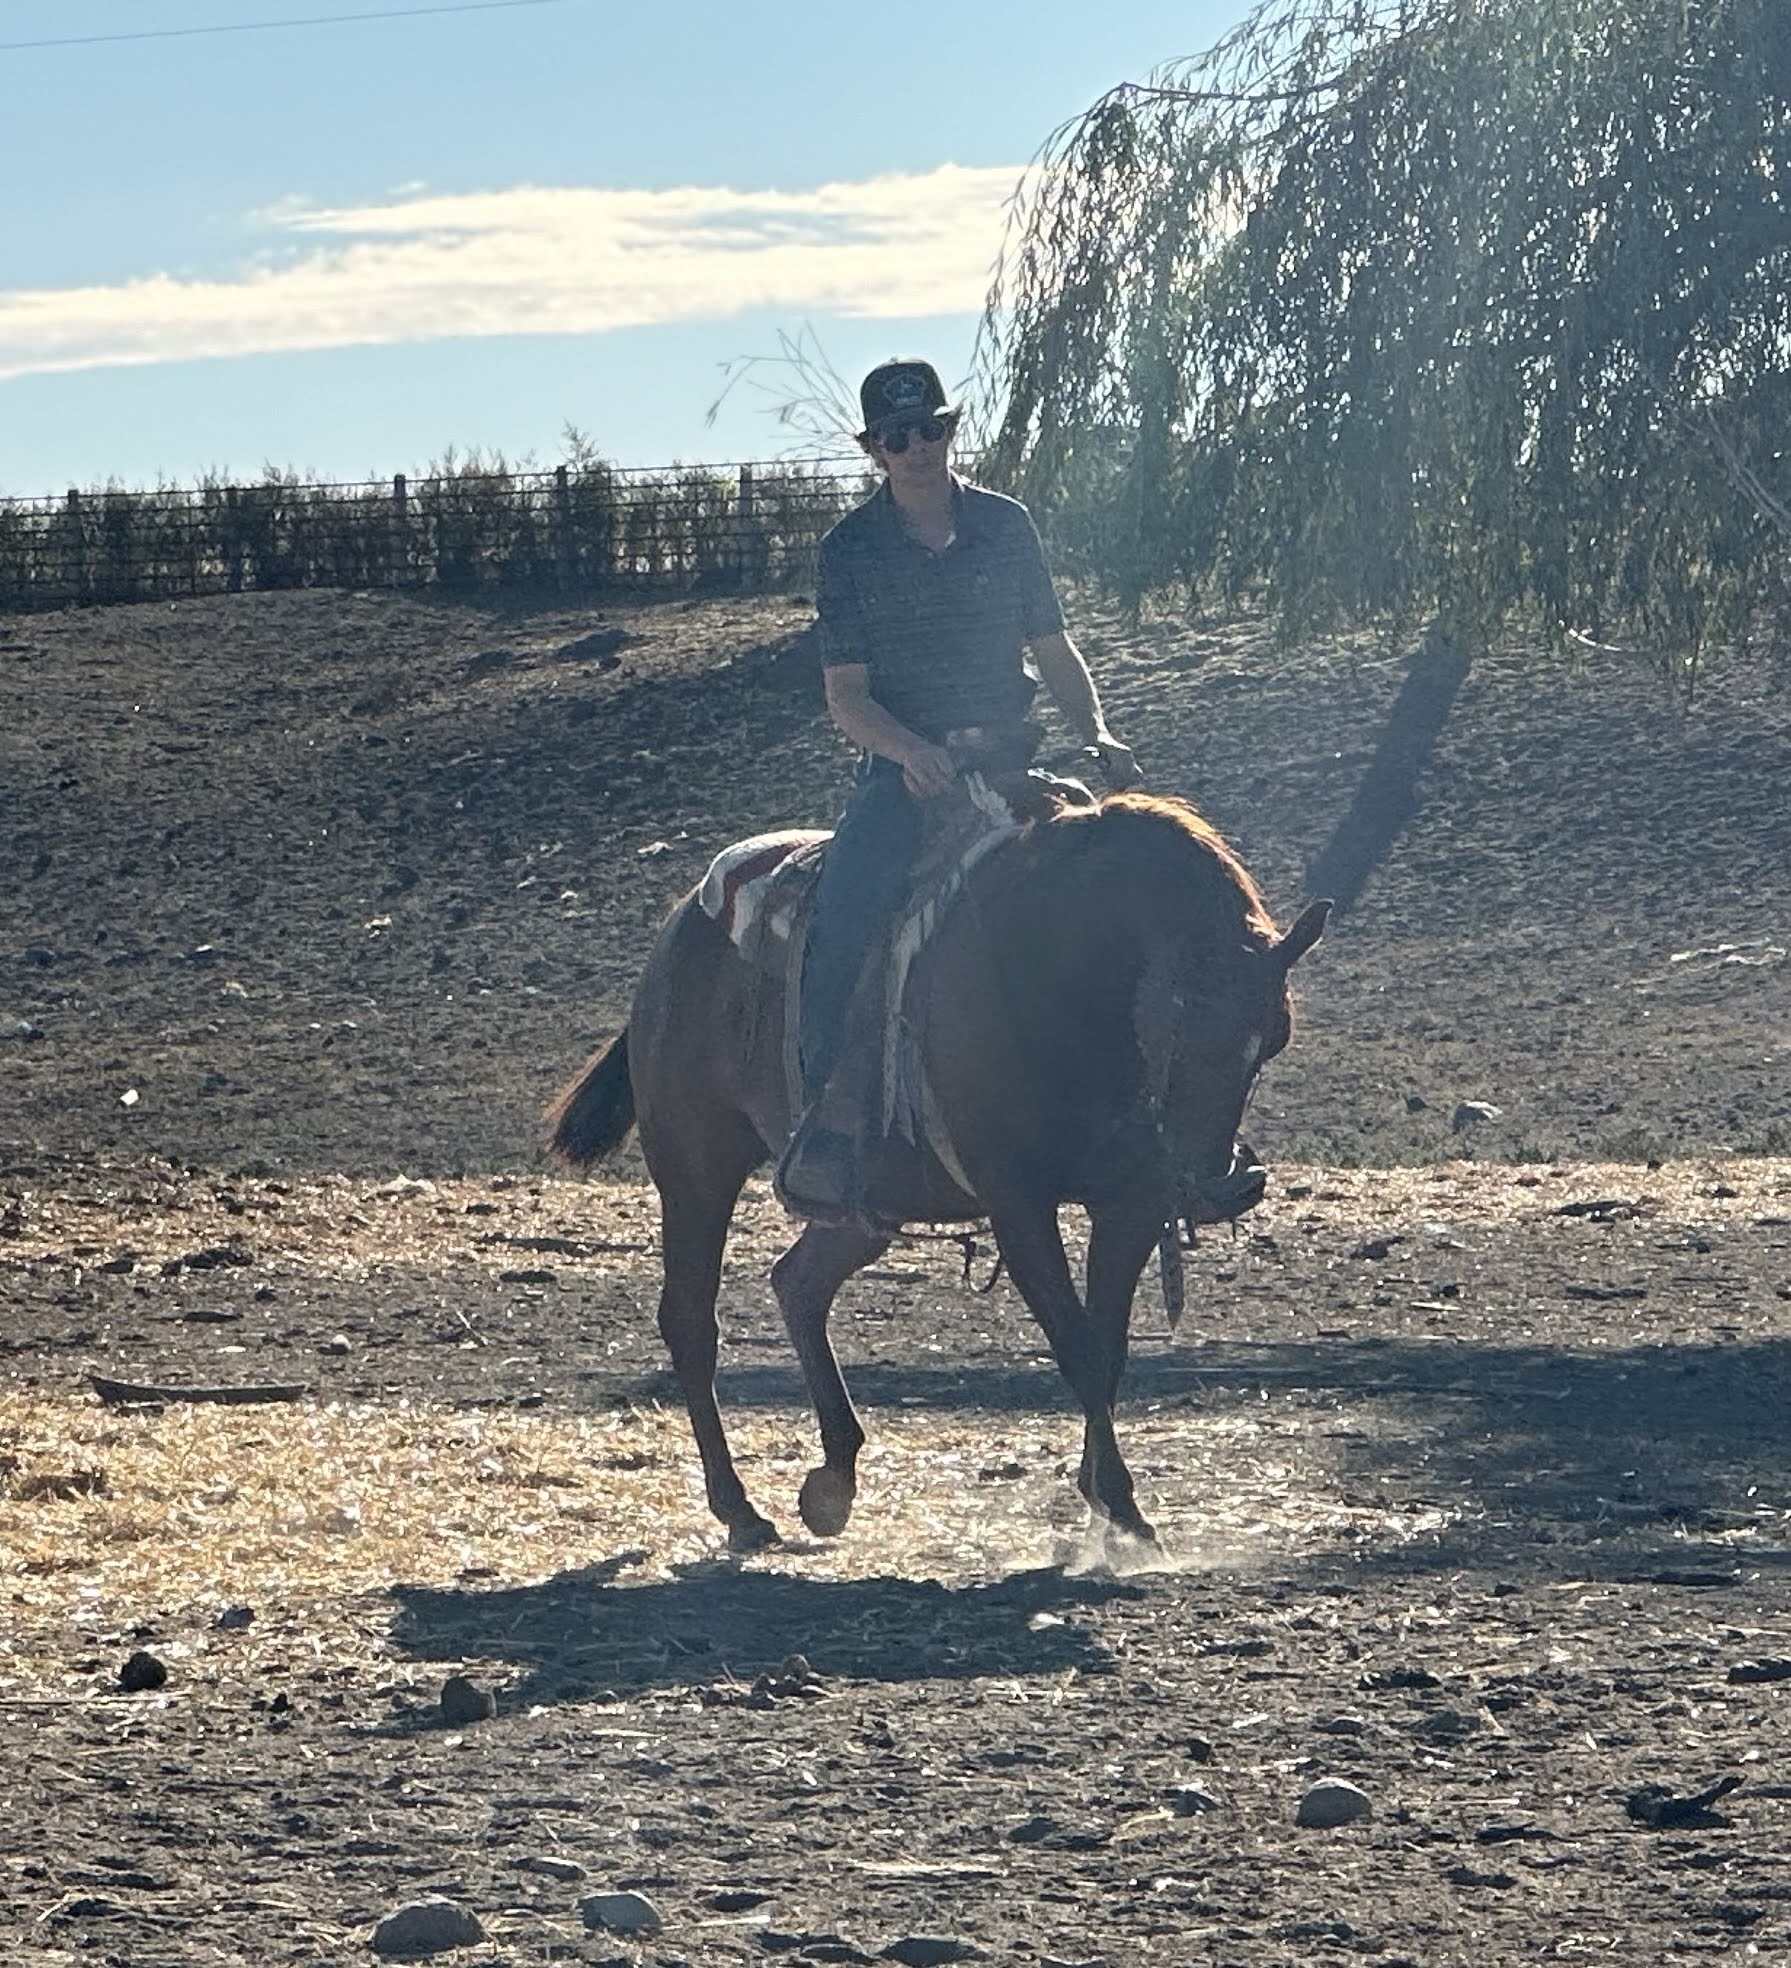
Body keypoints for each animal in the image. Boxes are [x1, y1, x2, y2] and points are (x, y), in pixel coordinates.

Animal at [546, 790, 1329, 1553]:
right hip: (695, 1165)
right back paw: (740, 1510)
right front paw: (1123, 1512)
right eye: (1174, 1017)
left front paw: (1100, 1504)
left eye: (1271, 1038)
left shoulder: (1130, 1203)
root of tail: (682, 927)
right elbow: (1077, 1345)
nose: (1205, 1183)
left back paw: (831, 1482)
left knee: (799, 1283)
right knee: (690, 1320)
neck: (1066, 978)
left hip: (864, 1209)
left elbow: (1107, 1348)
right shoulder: (1018, 1204)